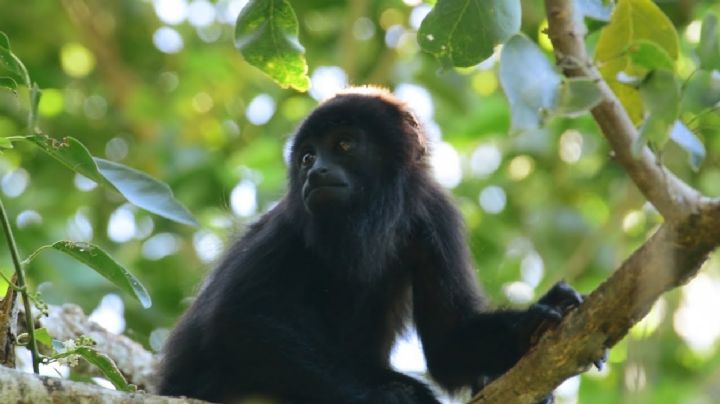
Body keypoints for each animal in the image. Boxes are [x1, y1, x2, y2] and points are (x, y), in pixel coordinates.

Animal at [159, 88, 584, 404]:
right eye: (307, 156)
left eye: (344, 144)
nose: (315, 172)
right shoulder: (288, 227)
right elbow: (236, 318)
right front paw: (379, 396)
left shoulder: (436, 216)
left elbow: (447, 342)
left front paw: (530, 323)